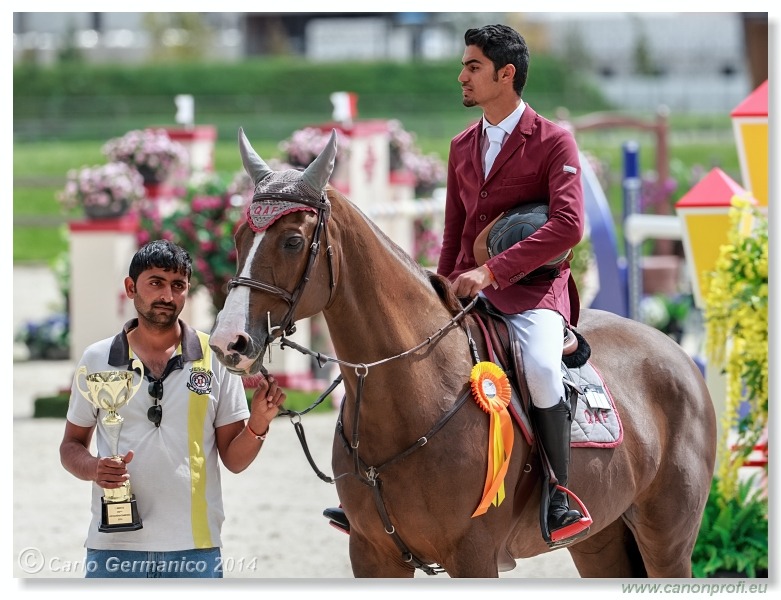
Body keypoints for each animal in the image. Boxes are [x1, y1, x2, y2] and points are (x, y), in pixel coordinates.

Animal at [209, 129, 720, 580]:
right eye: (237, 237)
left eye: (293, 241)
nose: (227, 341)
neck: (411, 394)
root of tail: (673, 350)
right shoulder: (373, 556)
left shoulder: (473, 554)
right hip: (601, 541)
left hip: (667, 540)